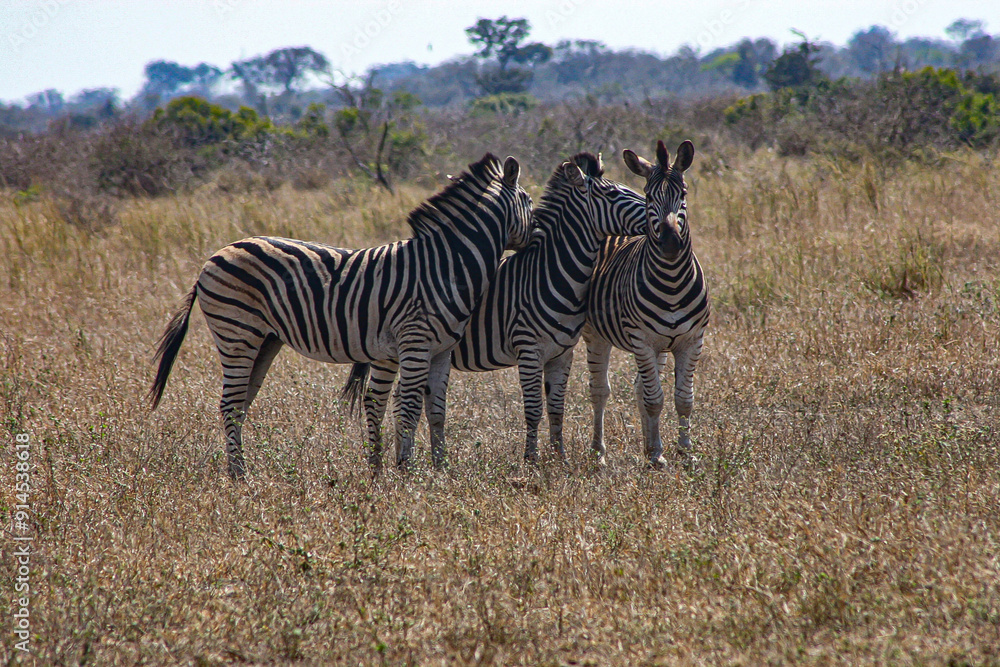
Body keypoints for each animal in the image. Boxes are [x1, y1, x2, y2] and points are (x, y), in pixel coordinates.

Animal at [149, 153, 533, 478]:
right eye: (530, 201)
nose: (541, 237)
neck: (447, 265)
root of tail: (215, 255)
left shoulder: (440, 351)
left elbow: (436, 411)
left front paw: (441, 471)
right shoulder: (414, 343)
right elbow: (409, 409)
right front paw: (406, 473)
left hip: (265, 341)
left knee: (240, 403)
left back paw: (239, 469)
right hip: (237, 333)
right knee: (229, 404)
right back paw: (239, 476)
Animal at [344, 153, 647, 467]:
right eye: (614, 194)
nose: (656, 216)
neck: (552, 272)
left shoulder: (563, 354)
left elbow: (557, 408)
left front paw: (559, 459)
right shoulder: (528, 350)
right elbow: (534, 409)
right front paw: (532, 461)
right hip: (388, 352)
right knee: (375, 401)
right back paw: (378, 463)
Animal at [583, 140, 710, 469]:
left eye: (683, 194)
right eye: (650, 196)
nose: (670, 243)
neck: (673, 282)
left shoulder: (691, 340)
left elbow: (683, 399)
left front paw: (684, 453)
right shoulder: (642, 340)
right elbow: (655, 400)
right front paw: (656, 454)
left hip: (660, 345)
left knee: (641, 389)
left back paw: (648, 444)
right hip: (596, 335)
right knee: (599, 391)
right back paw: (598, 453)